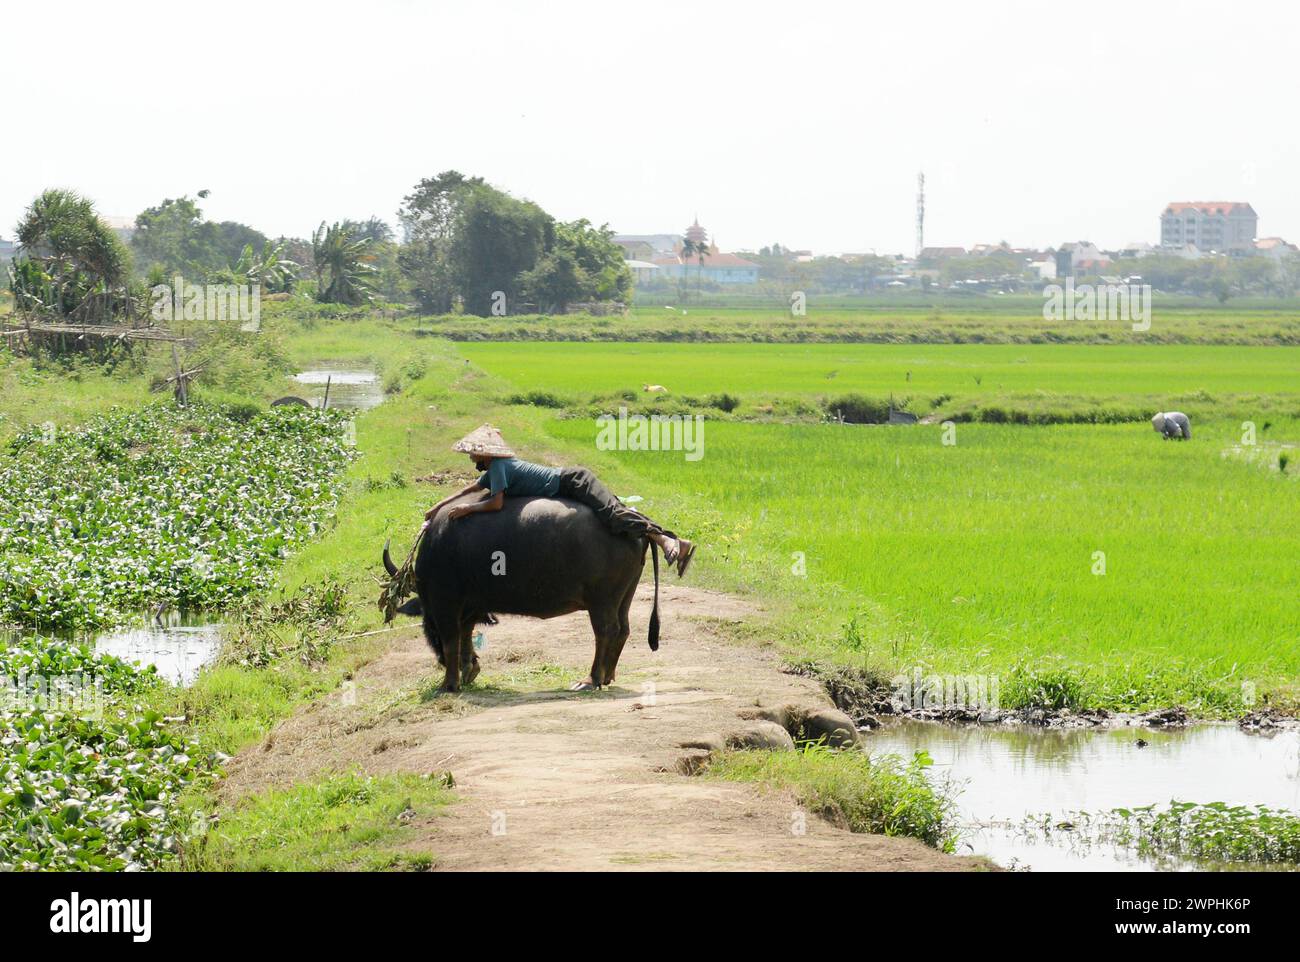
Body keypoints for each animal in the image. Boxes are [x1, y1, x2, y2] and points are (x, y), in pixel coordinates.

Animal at [379, 496, 655, 691]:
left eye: (427, 623)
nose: (440, 663)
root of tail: (638, 527)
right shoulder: (470, 606)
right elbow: (466, 634)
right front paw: (469, 669)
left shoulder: (445, 602)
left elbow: (451, 640)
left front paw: (449, 684)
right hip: (624, 596)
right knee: (623, 629)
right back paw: (608, 676)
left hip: (601, 600)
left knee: (605, 631)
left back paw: (591, 679)